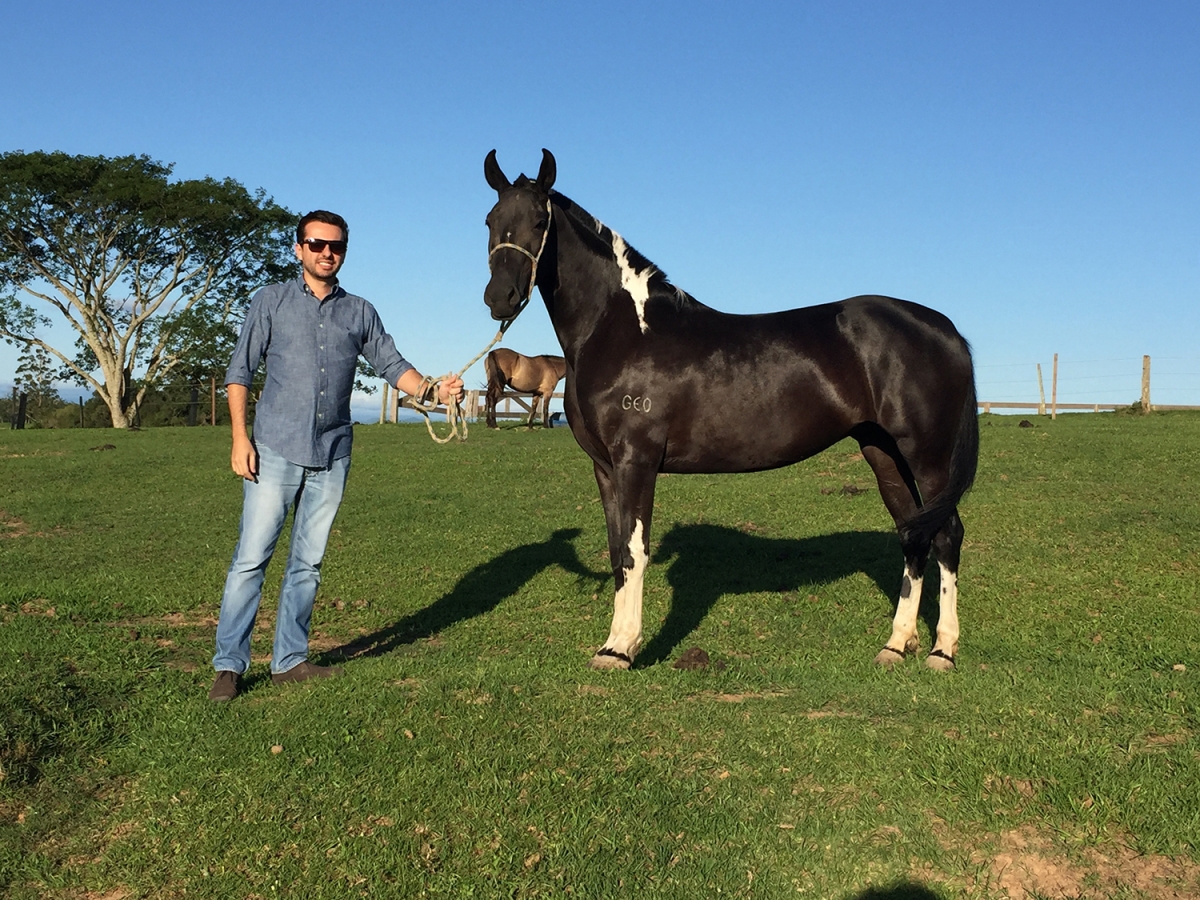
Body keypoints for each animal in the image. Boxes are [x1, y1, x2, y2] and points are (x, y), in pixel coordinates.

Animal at [482, 150, 979, 672]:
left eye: (539, 221)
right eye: (491, 220)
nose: (499, 298)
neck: (623, 330)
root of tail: (944, 329)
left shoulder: (636, 460)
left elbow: (635, 552)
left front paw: (621, 648)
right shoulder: (604, 467)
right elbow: (617, 551)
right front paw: (614, 643)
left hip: (927, 457)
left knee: (947, 535)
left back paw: (942, 650)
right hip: (882, 452)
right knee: (913, 534)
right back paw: (896, 644)